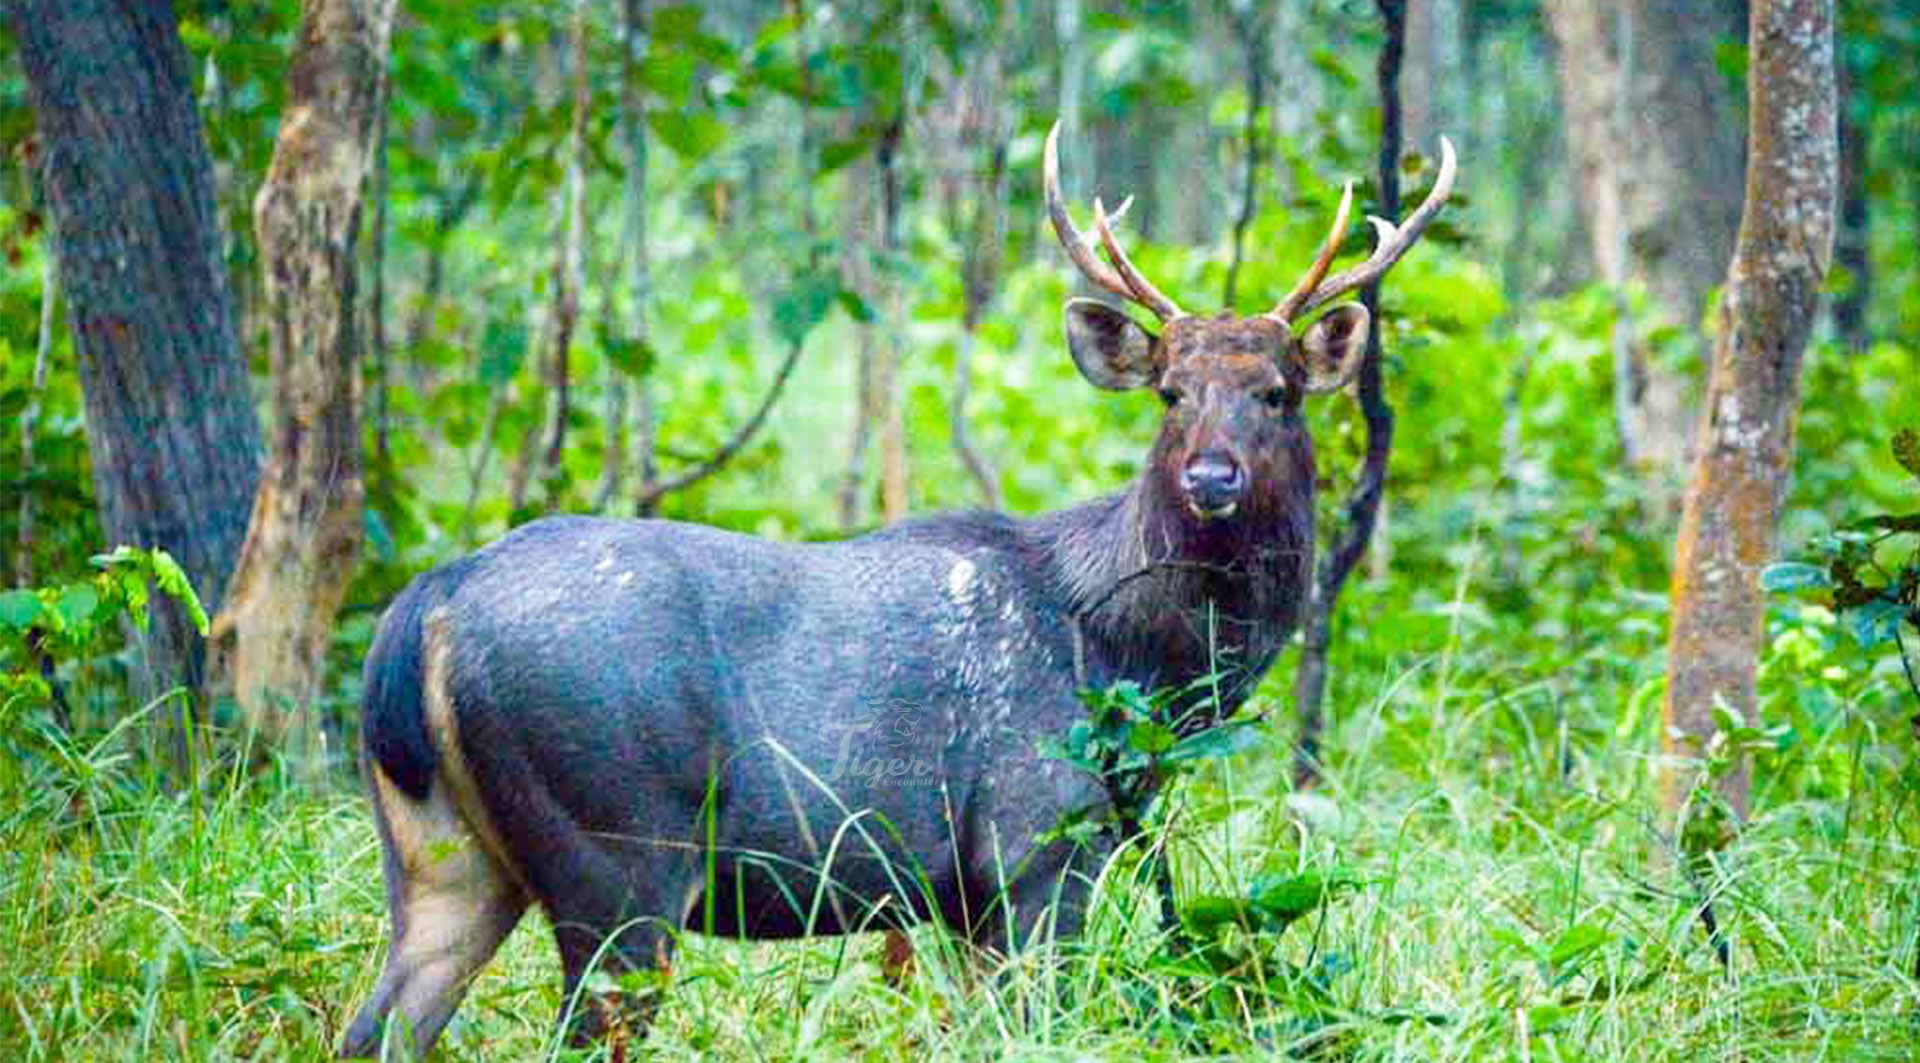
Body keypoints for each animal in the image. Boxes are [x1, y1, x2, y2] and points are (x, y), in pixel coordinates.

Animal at [340, 120, 1455, 1058]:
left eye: (1277, 391)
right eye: (1171, 391)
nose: (1211, 476)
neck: (1127, 657)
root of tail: (421, 613)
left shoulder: (955, 894)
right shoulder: (1037, 838)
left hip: (441, 855)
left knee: (376, 1025)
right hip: (617, 845)